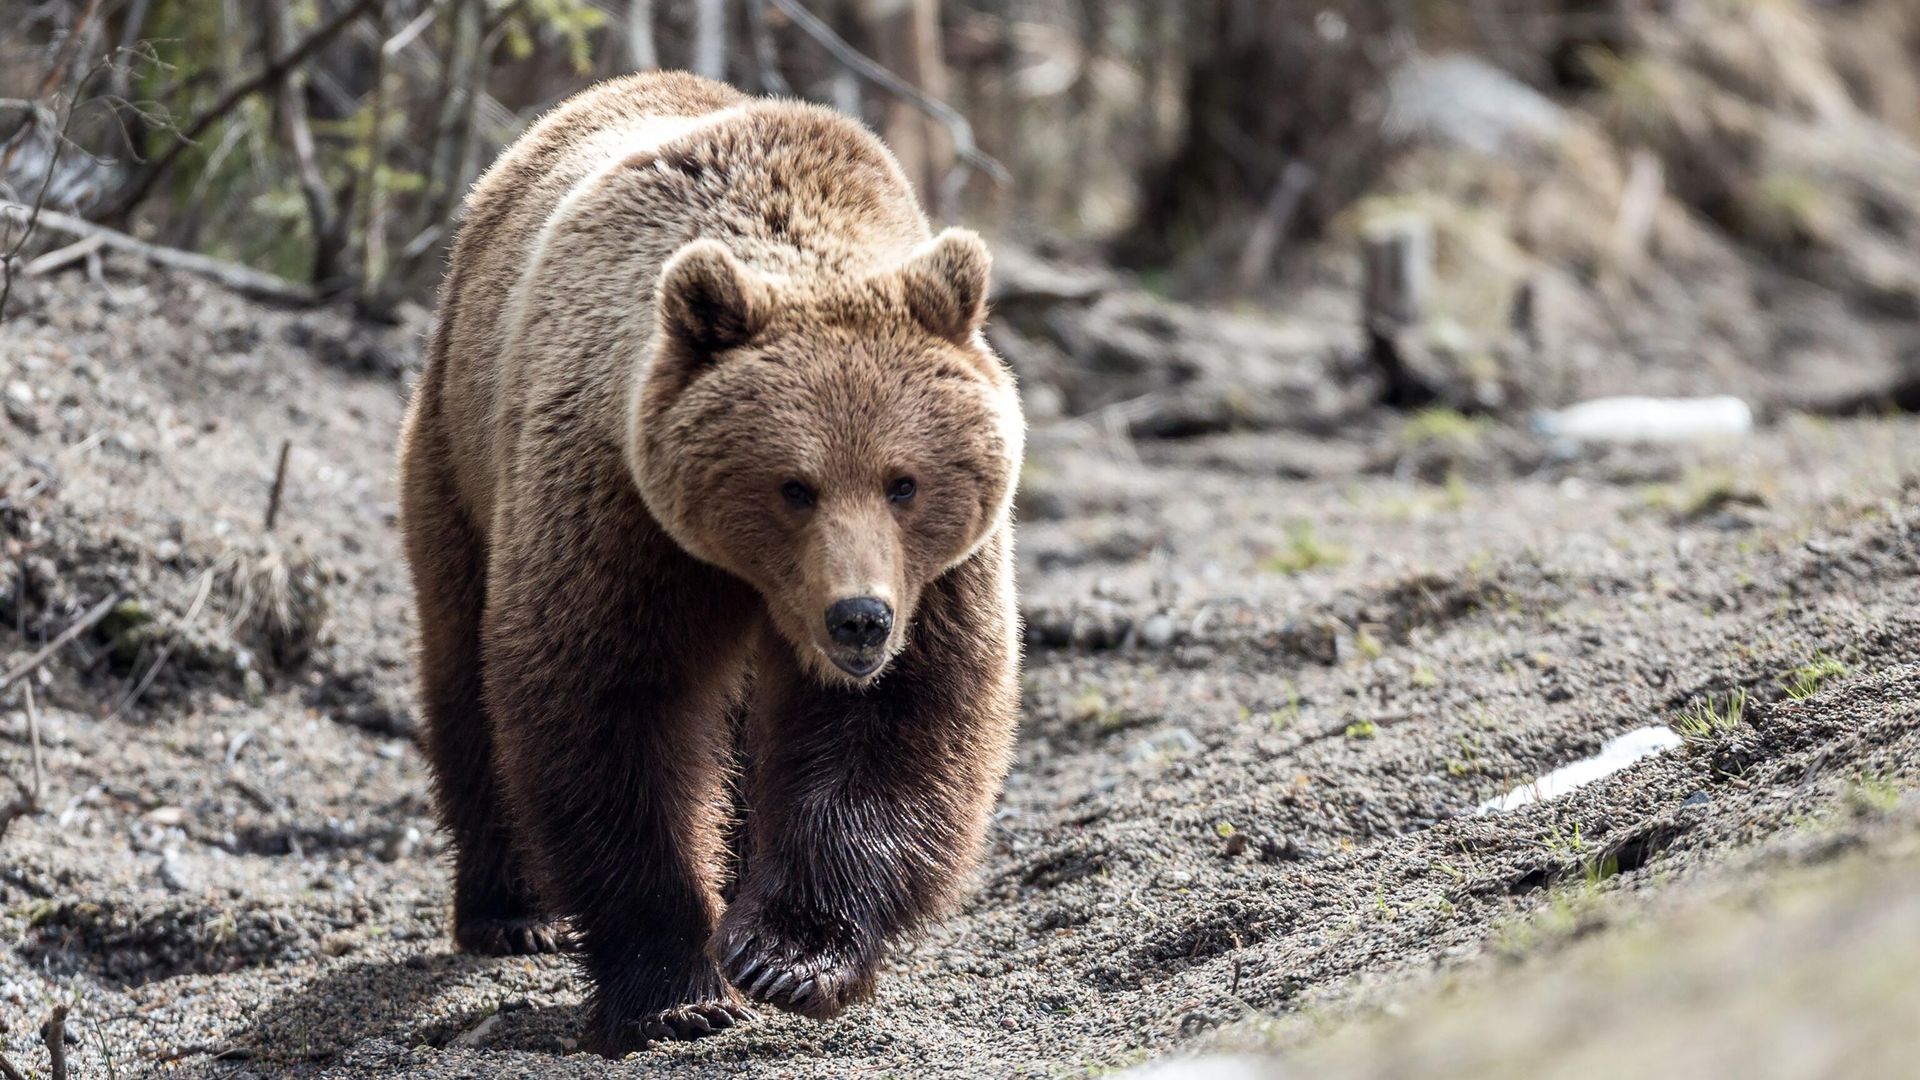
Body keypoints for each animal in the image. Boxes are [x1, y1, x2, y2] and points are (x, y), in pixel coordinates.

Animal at [395, 71, 1023, 1056]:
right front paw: (675, 990)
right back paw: (511, 910)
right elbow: (611, 712)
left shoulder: (941, 577)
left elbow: (900, 719)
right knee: (464, 671)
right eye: (794, 485)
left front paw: (787, 955)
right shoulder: (619, 515)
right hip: (460, 458)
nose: (859, 619)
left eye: (904, 482)